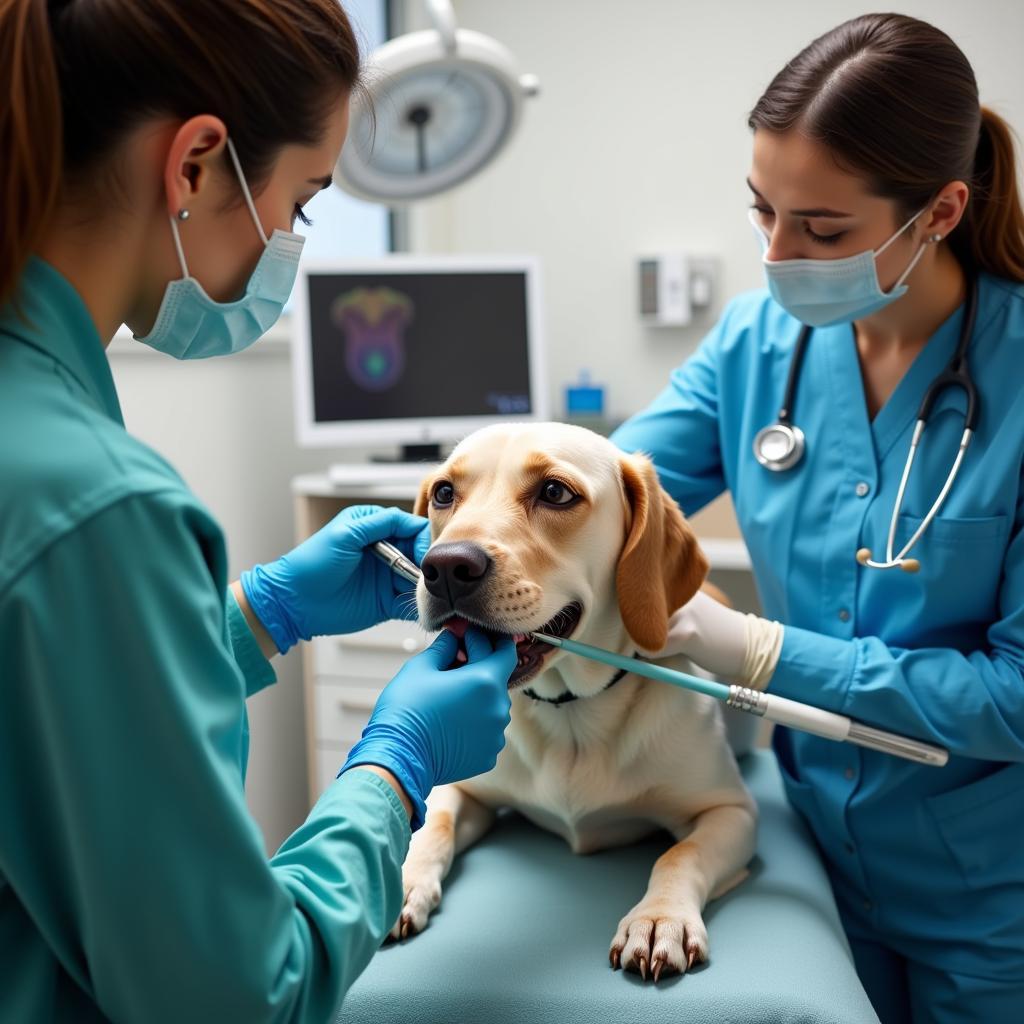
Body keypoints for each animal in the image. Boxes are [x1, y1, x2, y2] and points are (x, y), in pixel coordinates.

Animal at [395, 419, 757, 978]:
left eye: (554, 492)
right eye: (444, 493)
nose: (445, 567)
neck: (572, 715)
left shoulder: (732, 812)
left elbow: (680, 854)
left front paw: (659, 918)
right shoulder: (467, 793)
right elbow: (434, 822)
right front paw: (405, 881)